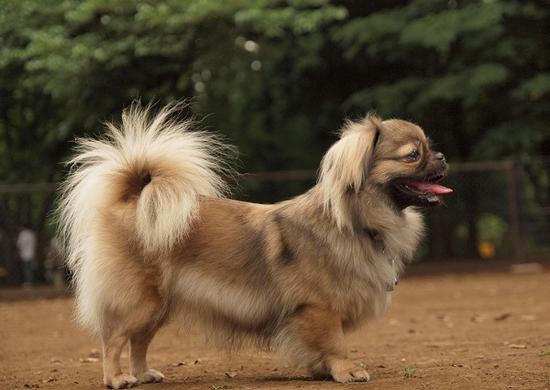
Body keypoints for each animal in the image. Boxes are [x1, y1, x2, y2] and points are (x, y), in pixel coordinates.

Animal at [58, 103, 452, 386]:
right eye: (413, 155)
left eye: (430, 148)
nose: (442, 156)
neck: (359, 223)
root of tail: (132, 199)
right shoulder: (319, 308)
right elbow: (335, 343)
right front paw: (346, 371)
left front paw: (322, 370)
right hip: (139, 302)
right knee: (113, 339)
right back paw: (118, 379)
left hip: (158, 307)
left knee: (138, 342)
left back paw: (143, 375)